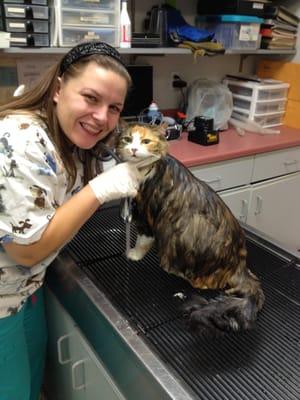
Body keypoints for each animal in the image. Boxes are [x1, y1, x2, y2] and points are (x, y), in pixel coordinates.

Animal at [116, 122, 264, 334]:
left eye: (146, 141)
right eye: (127, 139)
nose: (133, 149)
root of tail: (239, 265)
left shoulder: (147, 216)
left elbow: (143, 240)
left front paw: (133, 254)